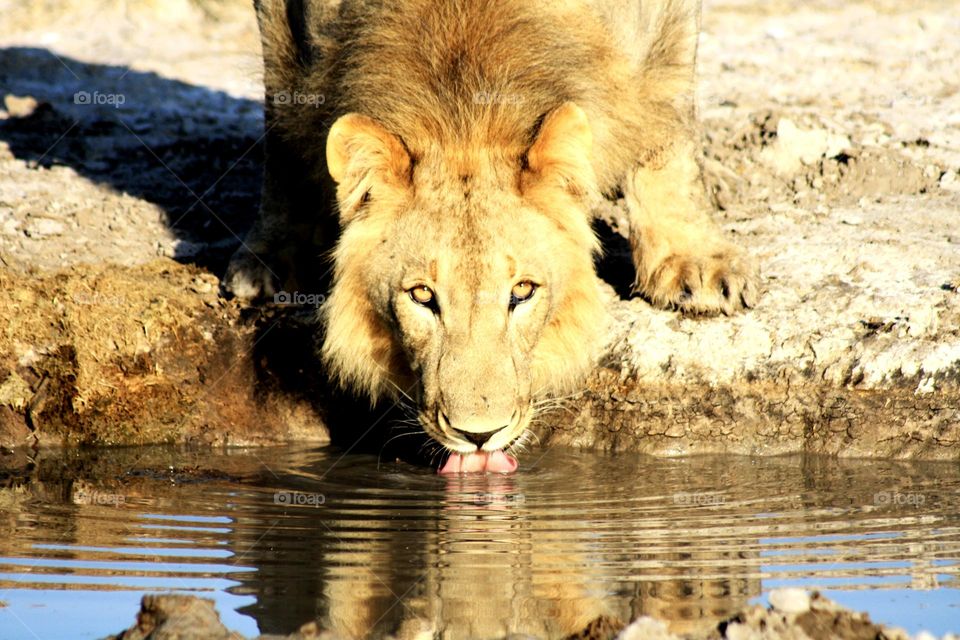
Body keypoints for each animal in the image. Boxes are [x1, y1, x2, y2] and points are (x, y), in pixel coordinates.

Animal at [224, 0, 759, 472]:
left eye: (522, 291)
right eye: (422, 296)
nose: (479, 435)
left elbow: (668, 122)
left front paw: (693, 262)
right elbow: (280, 110)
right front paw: (273, 254)